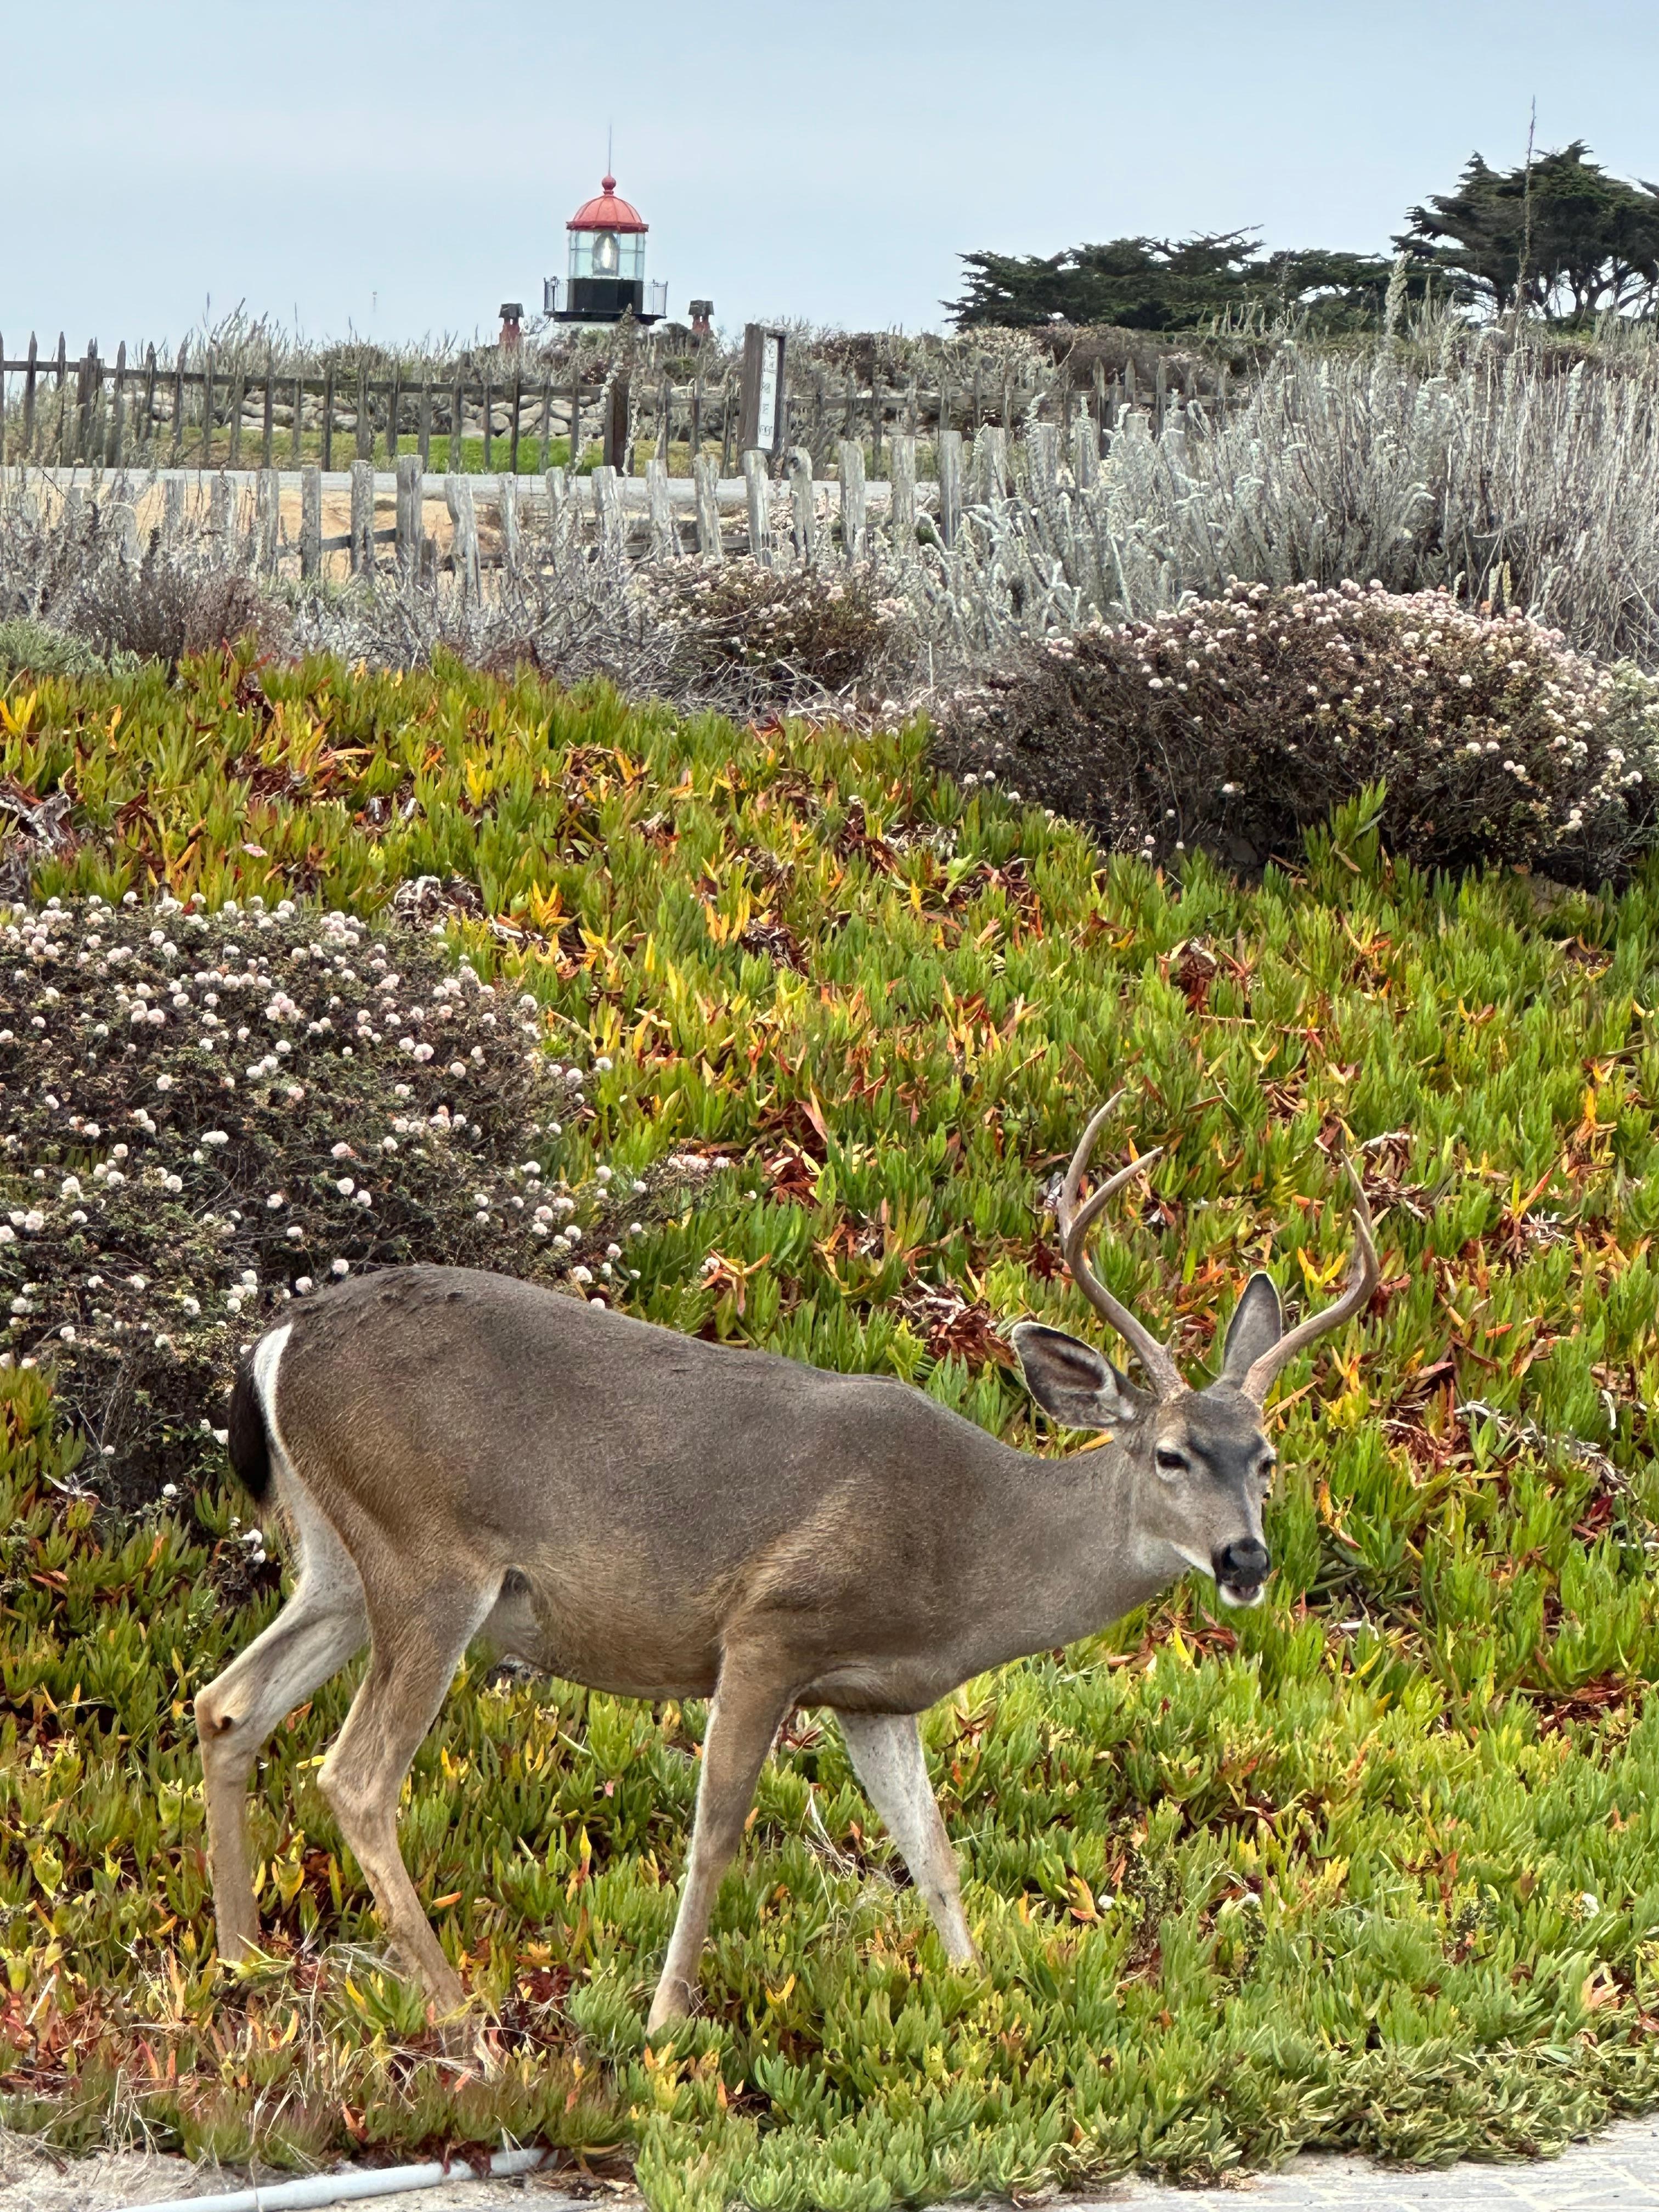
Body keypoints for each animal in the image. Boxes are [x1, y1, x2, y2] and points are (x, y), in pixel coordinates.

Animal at [195, 1100, 1378, 2033]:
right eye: (1170, 1453)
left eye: (1266, 1457)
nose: (1244, 1555)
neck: (971, 1553)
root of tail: (277, 1342)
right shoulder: (770, 1625)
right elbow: (717, 1828)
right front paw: (666, 2022)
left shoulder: (875, 1694)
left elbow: (933, 1851)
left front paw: (981, 2001)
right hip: (430, 1557)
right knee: (355, 1774)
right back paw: (454, 2011)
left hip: (340, 1559)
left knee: (227, 1701)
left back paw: (242, 1957)